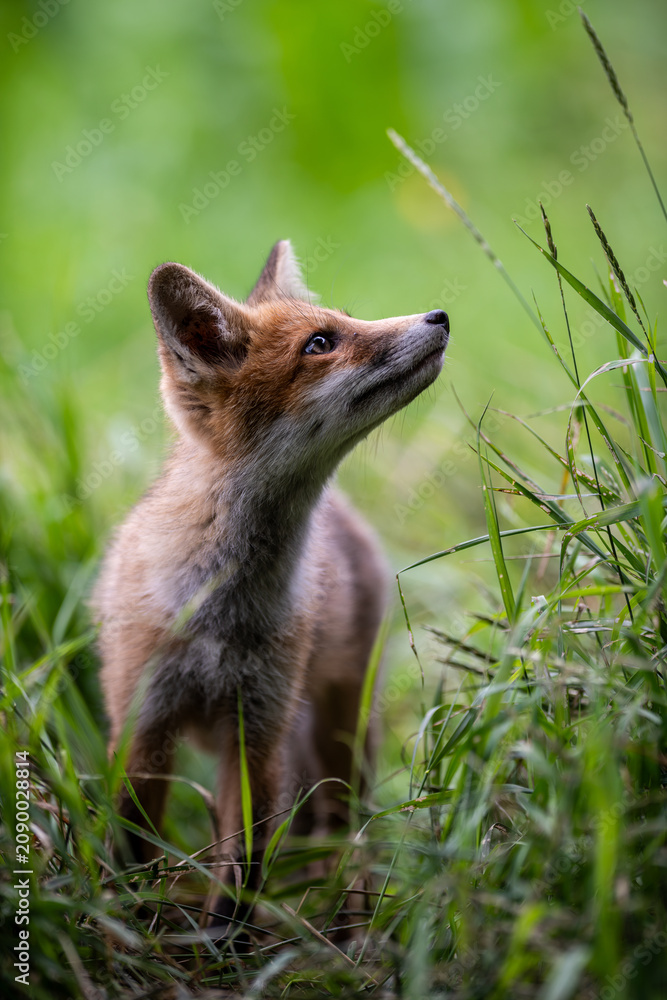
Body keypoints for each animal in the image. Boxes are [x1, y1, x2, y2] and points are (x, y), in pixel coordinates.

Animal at [92, 240, 449, 923]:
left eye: (348, 319)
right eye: (320, 343)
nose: (439, 315)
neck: (218, 613)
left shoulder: (256, 731)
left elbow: (241, 876)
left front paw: (221, 943)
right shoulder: (143, 724)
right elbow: (131, 851)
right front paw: (131, 925)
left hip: (340, 727)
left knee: (345, 830)